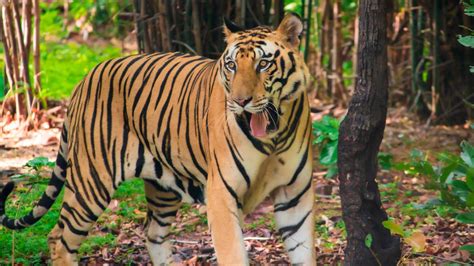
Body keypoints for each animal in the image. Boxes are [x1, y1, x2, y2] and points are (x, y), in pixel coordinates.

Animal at [1, 13, 316, 266]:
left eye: (263, 64)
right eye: (231, 65)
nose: (240, 101)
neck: (275, 135)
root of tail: (85, 78)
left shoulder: (295, 196)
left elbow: (303, 252)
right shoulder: (221, 195)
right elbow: (233, 255)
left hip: (163, 187)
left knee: (153, 235)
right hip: (91, 182)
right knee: (59, 238)